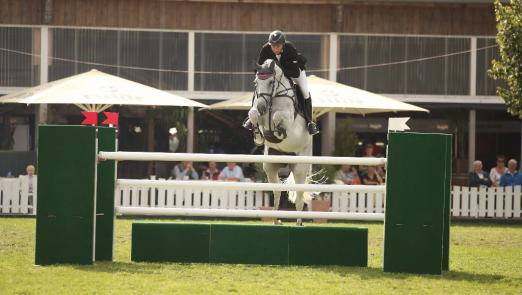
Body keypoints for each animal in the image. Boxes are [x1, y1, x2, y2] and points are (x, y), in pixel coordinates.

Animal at [246, 60, 310, 227]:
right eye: (255, 83)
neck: (273, 98)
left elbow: (276, 116)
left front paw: (278, 132)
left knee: (300, 194)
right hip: (270, 166)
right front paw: (258, 135)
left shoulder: (287, 119)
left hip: (300, 166)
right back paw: (276, 220)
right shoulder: (258, 113)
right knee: (277, 191)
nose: (262, 107)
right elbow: (253, 114)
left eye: (270, 82)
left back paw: (299, 223)